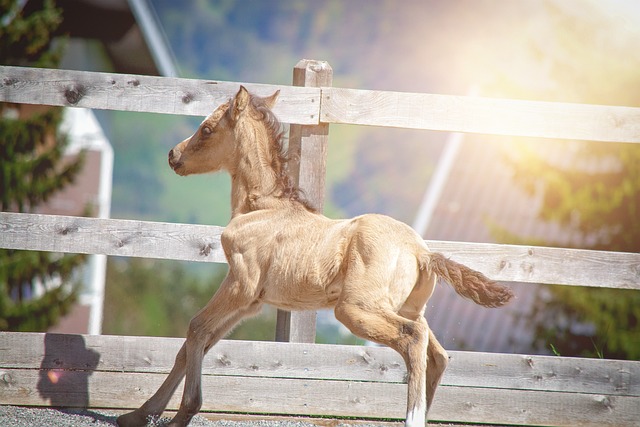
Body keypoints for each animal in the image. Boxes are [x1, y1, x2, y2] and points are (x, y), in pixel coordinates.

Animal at [116, 86, 516, 427]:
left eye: (207, 128)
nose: (173, 156)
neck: (262, 208)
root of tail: (423, 252)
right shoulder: (252, 303)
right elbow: (196, 344)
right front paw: (138, 414)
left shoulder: (240, 286)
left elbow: (197, 329)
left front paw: (181, 414)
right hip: (406, 307)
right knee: (437, 354)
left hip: (356, 309)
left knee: (413, 340)